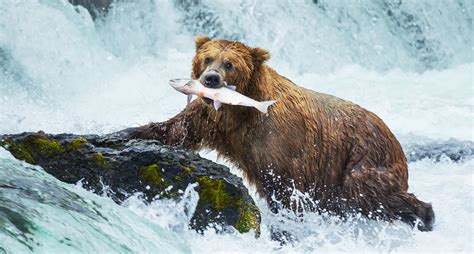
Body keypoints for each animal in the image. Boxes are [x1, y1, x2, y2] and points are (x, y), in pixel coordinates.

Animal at [130, 34, 434, 231]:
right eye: (207, 58)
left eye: (229, 63)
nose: (211, 79)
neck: (240, 110)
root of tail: (393, 136)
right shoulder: (212, 120)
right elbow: (176, 130)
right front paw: (127, 133)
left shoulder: (279, 140)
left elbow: (285, 186)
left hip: (362, 158)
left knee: (366, 194)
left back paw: (424, 215)